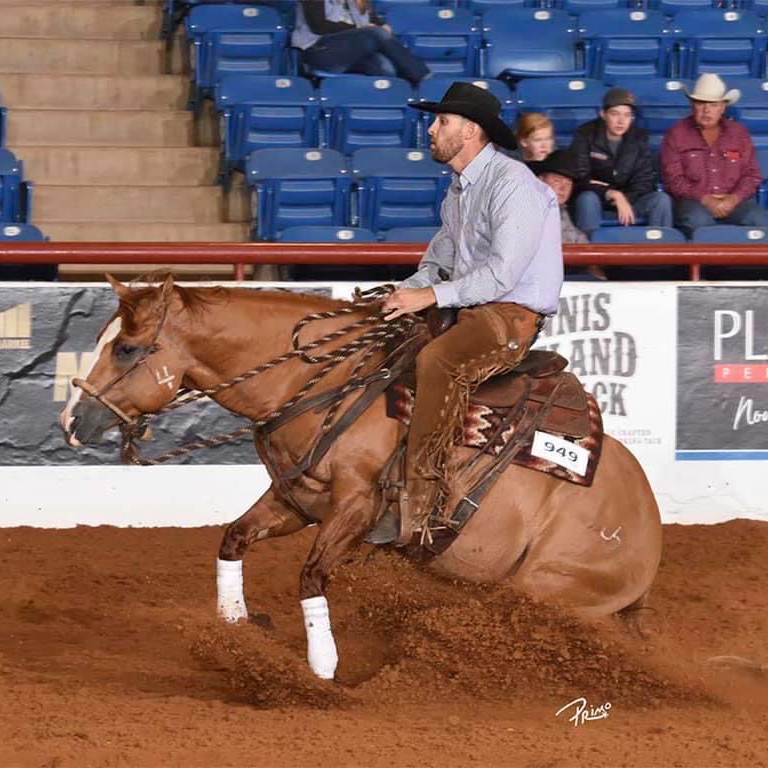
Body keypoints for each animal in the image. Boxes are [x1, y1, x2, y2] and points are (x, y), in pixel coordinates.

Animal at [59, 275, 662, 681]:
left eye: (126, 348)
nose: (70, 421)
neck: (325, 382)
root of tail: (647, 526)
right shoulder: (296, 499)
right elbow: (233, 539)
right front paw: (233, 625)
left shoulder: (357, 508)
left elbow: (310, 577)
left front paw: (323, 666)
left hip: (547, 589)